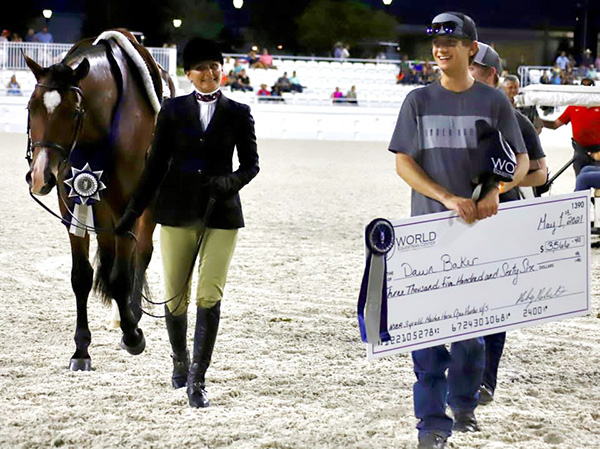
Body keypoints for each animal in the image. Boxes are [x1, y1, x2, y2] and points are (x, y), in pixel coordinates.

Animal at [25, 28, 176, 372]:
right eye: (30, 108)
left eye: (74, 112)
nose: (40, 176)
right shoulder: (72, 207)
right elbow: (81, 277)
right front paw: (81, 350)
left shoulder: (127, 210)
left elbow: (122, 275)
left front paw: (133, 336)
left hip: (146, 206)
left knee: (141, 254)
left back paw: (131, 316)